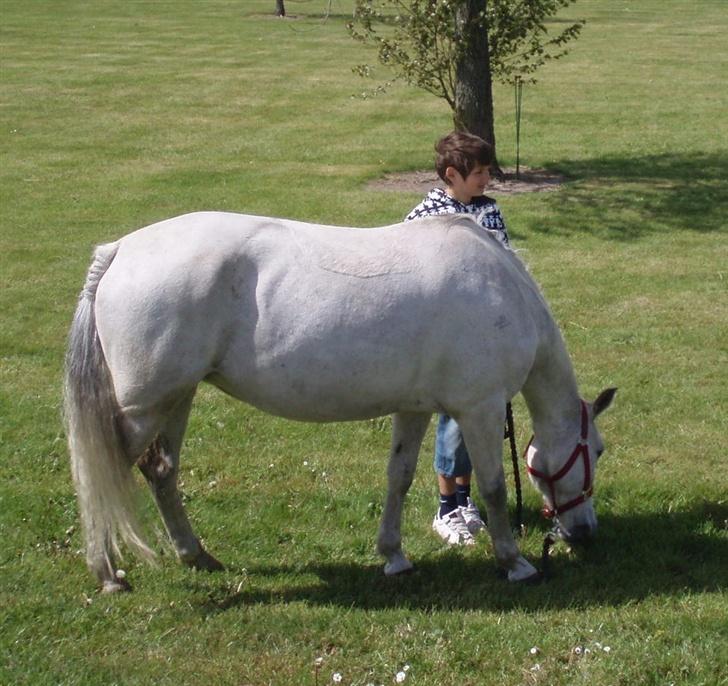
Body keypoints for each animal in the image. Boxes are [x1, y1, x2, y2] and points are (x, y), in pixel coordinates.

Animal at [65, 212, 616, 592]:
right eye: (598, 449)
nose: (586, 533)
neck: (503, 292)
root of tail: (120, 251)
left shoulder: (414, 407)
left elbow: (399, 478)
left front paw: (393, 555)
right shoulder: (479, 409)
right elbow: (495, 488)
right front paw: (514, 562)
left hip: (176, 398)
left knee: (161, 471)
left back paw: (196, 556)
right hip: (143, 409)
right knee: (103, 476)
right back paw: (108, 572)